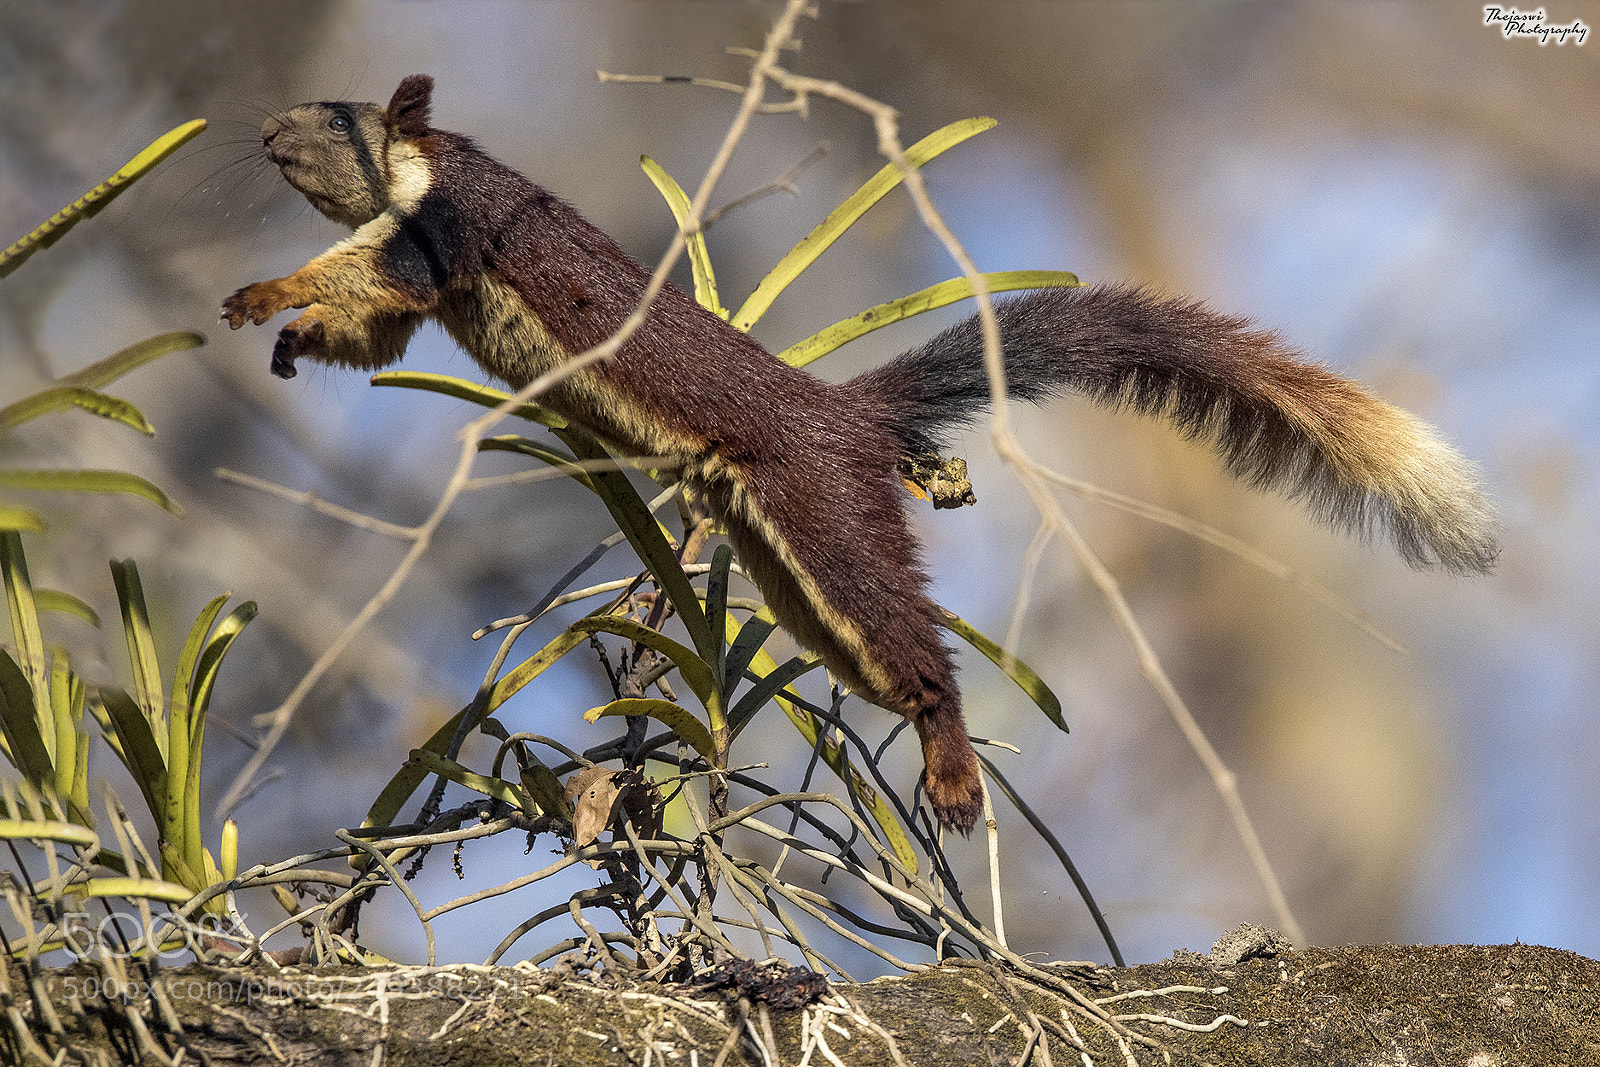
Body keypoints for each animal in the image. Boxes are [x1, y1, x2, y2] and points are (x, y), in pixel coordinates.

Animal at [223, 75, 1497, 833]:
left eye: (336, 115)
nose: (263, 129)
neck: (425, 170)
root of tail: (847, 420)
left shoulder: (448, 230)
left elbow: (377, 278)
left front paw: (262, 294)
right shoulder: (425, 278)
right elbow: (371, 326)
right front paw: (287, 338)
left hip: (824, 508)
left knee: (918, 652)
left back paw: (952, 767)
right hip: (787, 566)